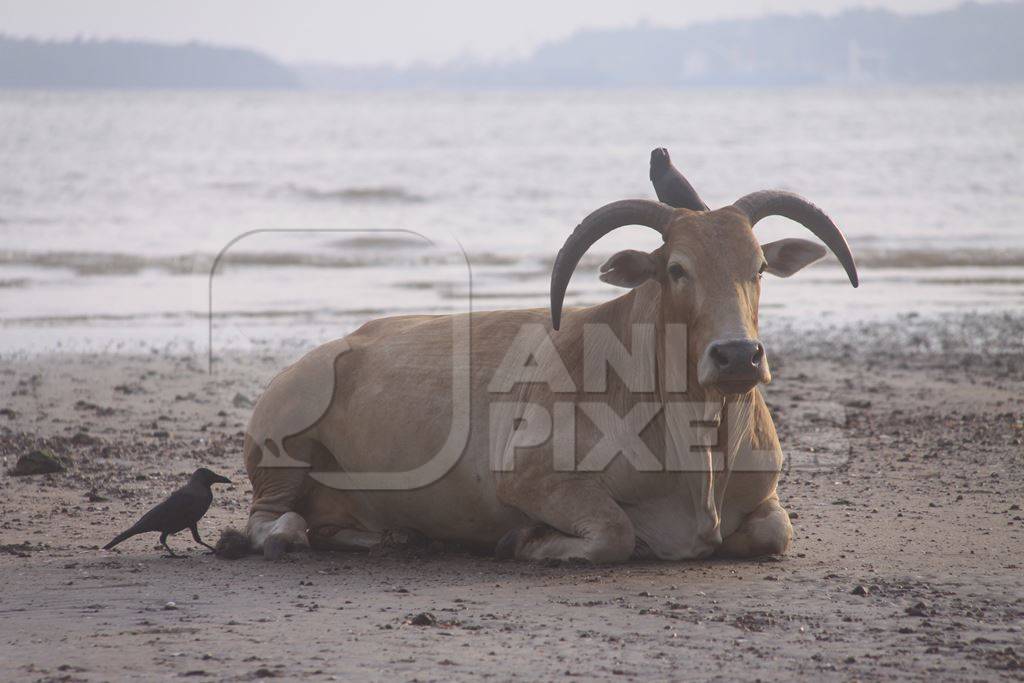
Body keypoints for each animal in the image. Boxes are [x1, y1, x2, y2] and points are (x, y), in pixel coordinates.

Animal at [232, 150, 856, 565]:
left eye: (758, 267)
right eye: (677, 269)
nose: (737, 357)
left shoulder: (766, 497)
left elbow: (776, 533)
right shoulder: (532, 479)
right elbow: (614, 533)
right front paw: (524, 540)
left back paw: (392, 536)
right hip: (283, 446)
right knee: (267, 518)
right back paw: (286, 536)